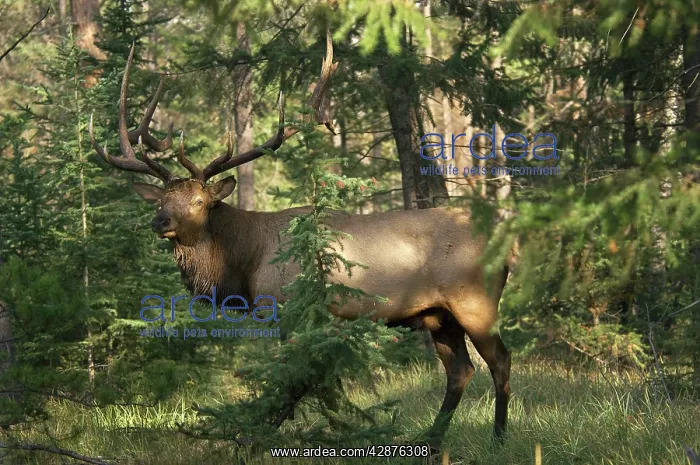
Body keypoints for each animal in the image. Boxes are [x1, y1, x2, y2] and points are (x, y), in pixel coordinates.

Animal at [89, 33, 512, 451]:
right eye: (161, 200)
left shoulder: (291, 309)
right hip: (438, 315)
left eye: (199, 201)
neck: (243, 265)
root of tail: (507, 245)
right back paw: (433, 440)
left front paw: (255, 438)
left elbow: (292, 380)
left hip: (475, 301)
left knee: (500, 361)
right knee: (461, 370)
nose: (160, 221)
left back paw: (498, 438)